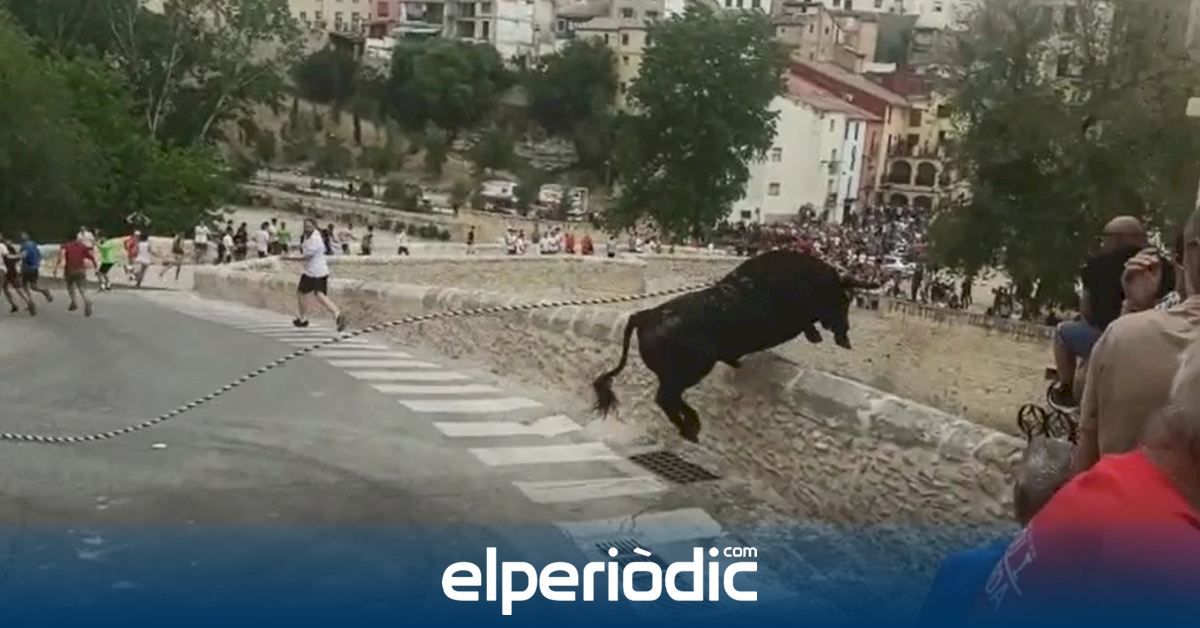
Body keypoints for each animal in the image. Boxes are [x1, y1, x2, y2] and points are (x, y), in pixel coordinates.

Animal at [592, 249, 870, 442]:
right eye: (843, 299)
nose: (845, 335)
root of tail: (645, 315)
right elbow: (806, 322)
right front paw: (816, 336)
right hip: (692, 369)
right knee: (666, 398)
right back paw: (691, 429)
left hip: (680, 373)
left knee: (670, 398)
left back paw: (692, 425)